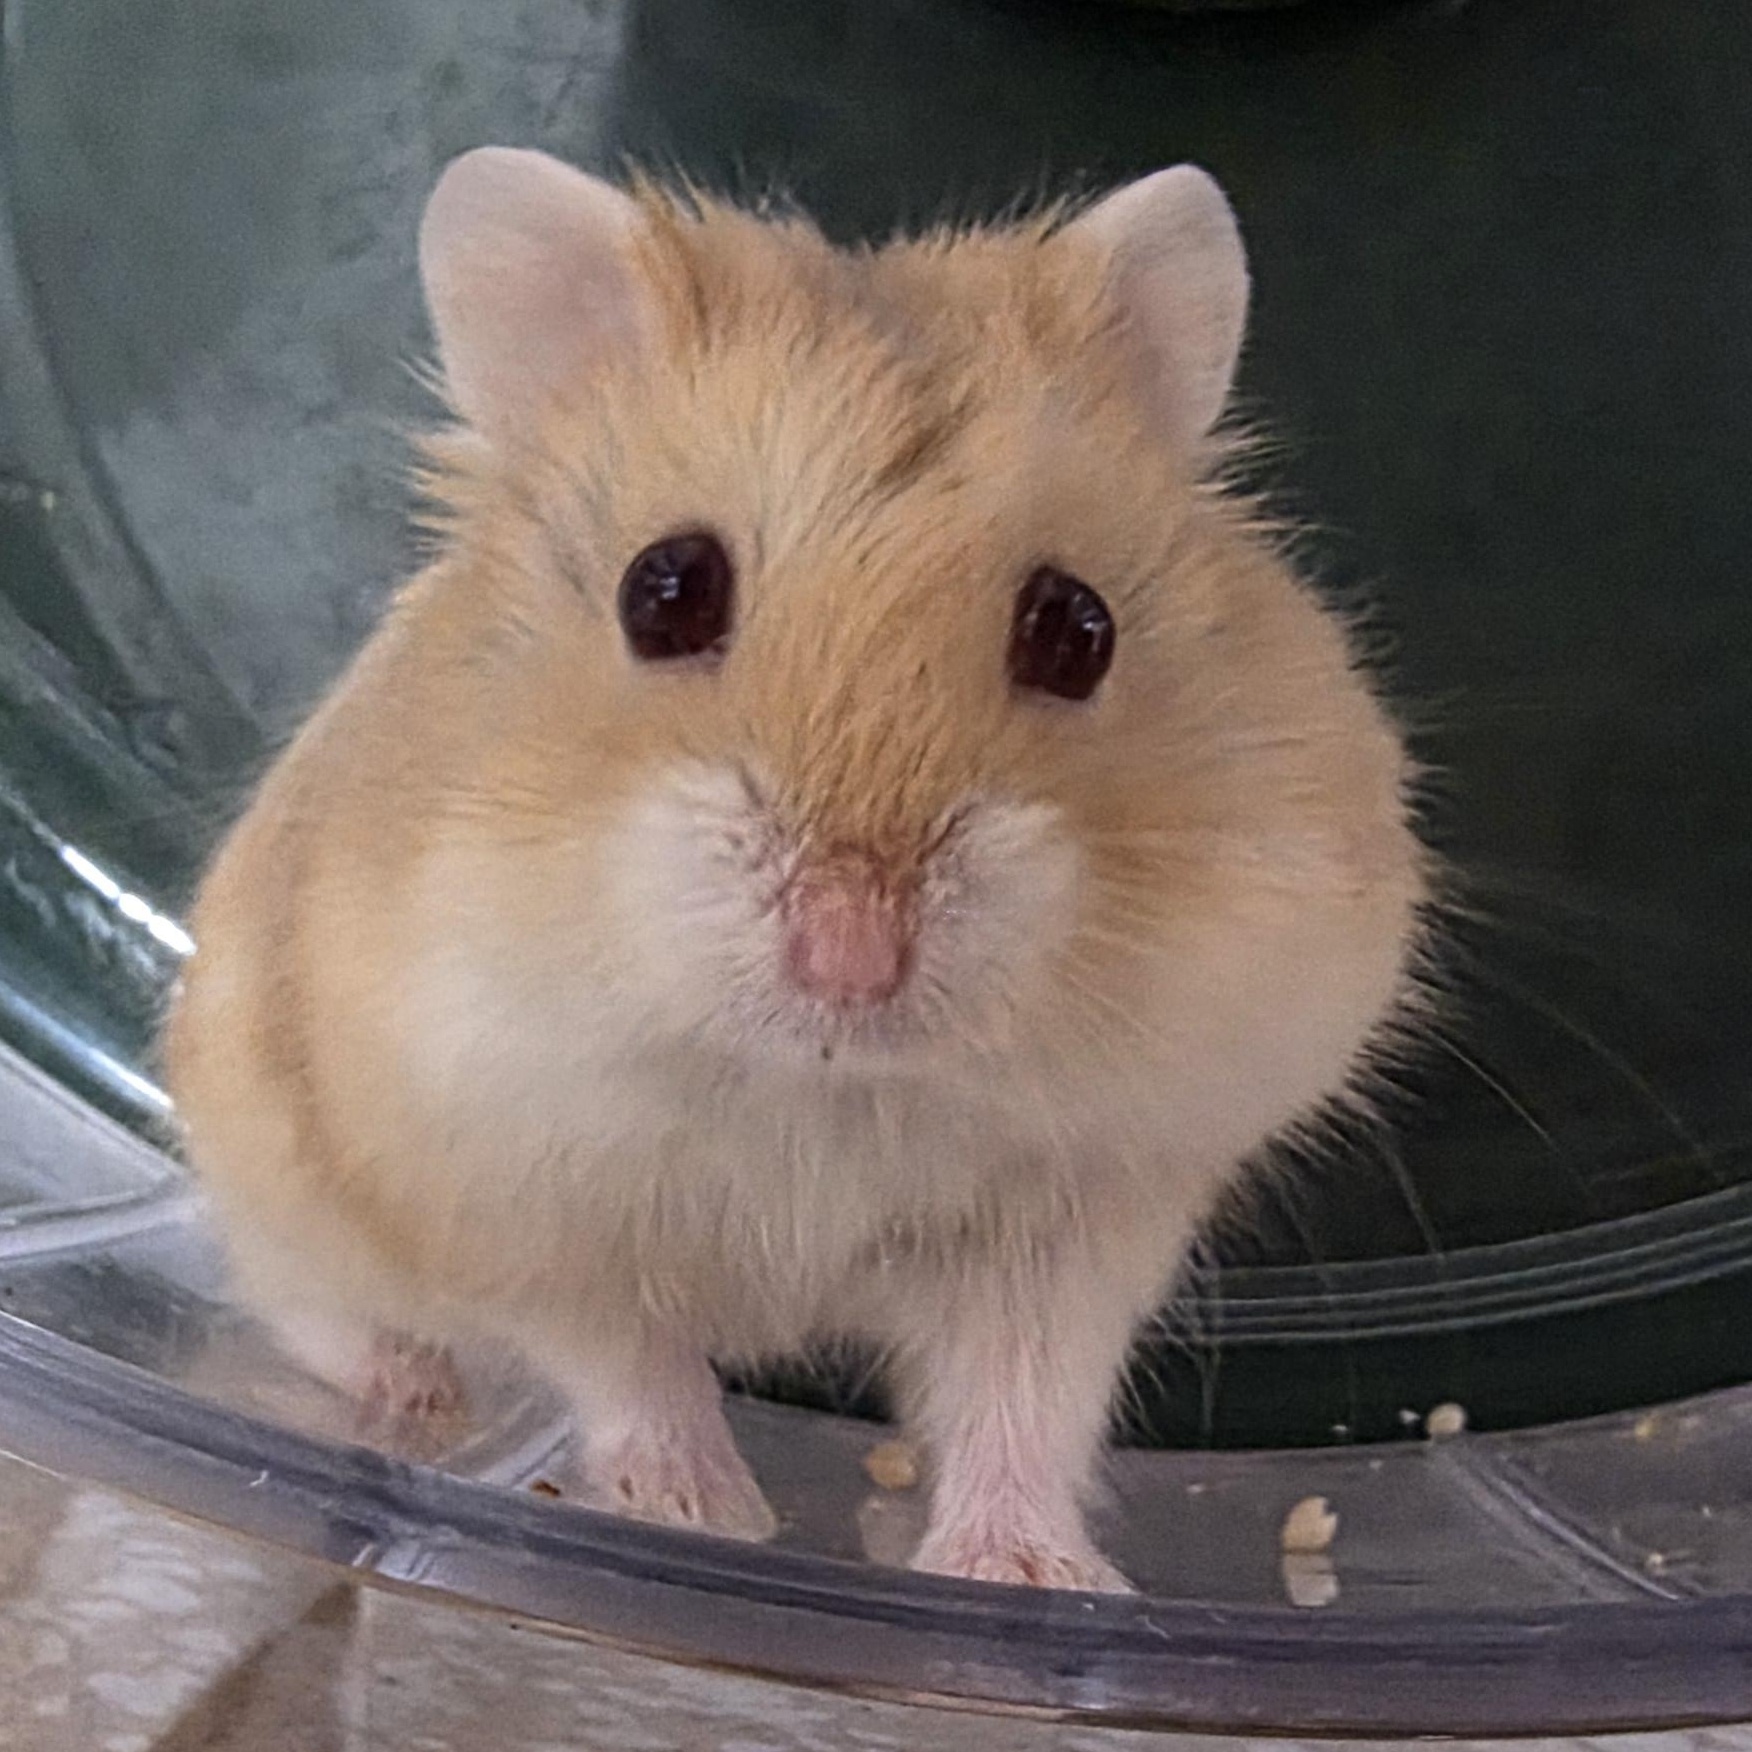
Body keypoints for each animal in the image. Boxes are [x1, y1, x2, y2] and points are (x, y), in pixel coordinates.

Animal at [162, 147, 1426, 1592]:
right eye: (664, 590)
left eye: (1078, 627)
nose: (851, 955)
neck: (825, 1090)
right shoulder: (522, 1189)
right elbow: (630, 1363)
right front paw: (710, 1520)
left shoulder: (1077, 1221)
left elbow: (1024, 1400)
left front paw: (1033, 1579)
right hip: (266, 1170)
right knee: (309, 1301)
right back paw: (420, 1396)